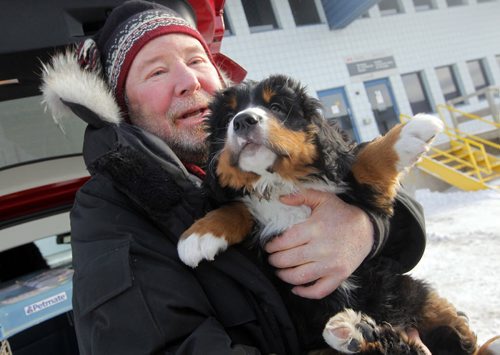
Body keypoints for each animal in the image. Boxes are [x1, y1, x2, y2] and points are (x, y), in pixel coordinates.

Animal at [176, 75, 476, 355]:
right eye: (228, 117)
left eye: (276, 107)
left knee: (451, 333)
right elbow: (237, 206)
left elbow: (365, 163)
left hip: (412, 293)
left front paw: (412, 131)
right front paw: (197, 237)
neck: (279, 184)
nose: (242, 121)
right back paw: (354, 332)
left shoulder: (361, 196)